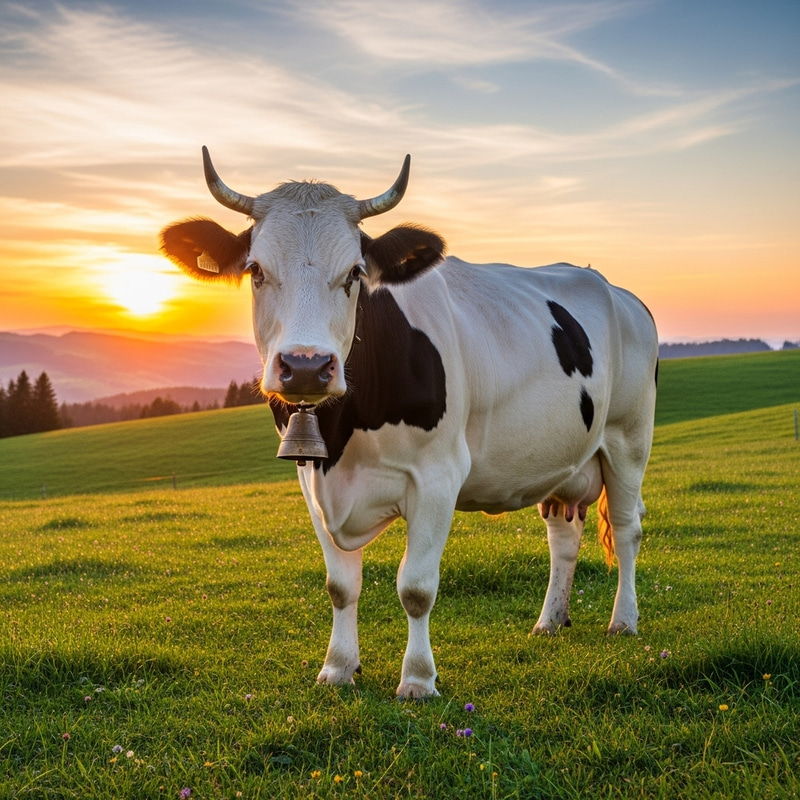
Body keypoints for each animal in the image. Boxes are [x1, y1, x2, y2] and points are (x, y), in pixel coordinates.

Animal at [160, 148, 658, 699]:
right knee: (563, 536)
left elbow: (416, 587)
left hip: (629, 439)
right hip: (561, 457)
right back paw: (550, 620)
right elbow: (340, 586)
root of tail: (613, 288)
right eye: (255, 270)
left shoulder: (438, 477)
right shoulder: (311, 480)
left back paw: (624, 620)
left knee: (627, 528)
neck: (345, 436)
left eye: (355, 273)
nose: (306, 365)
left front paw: (418, 678)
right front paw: (338, 667)